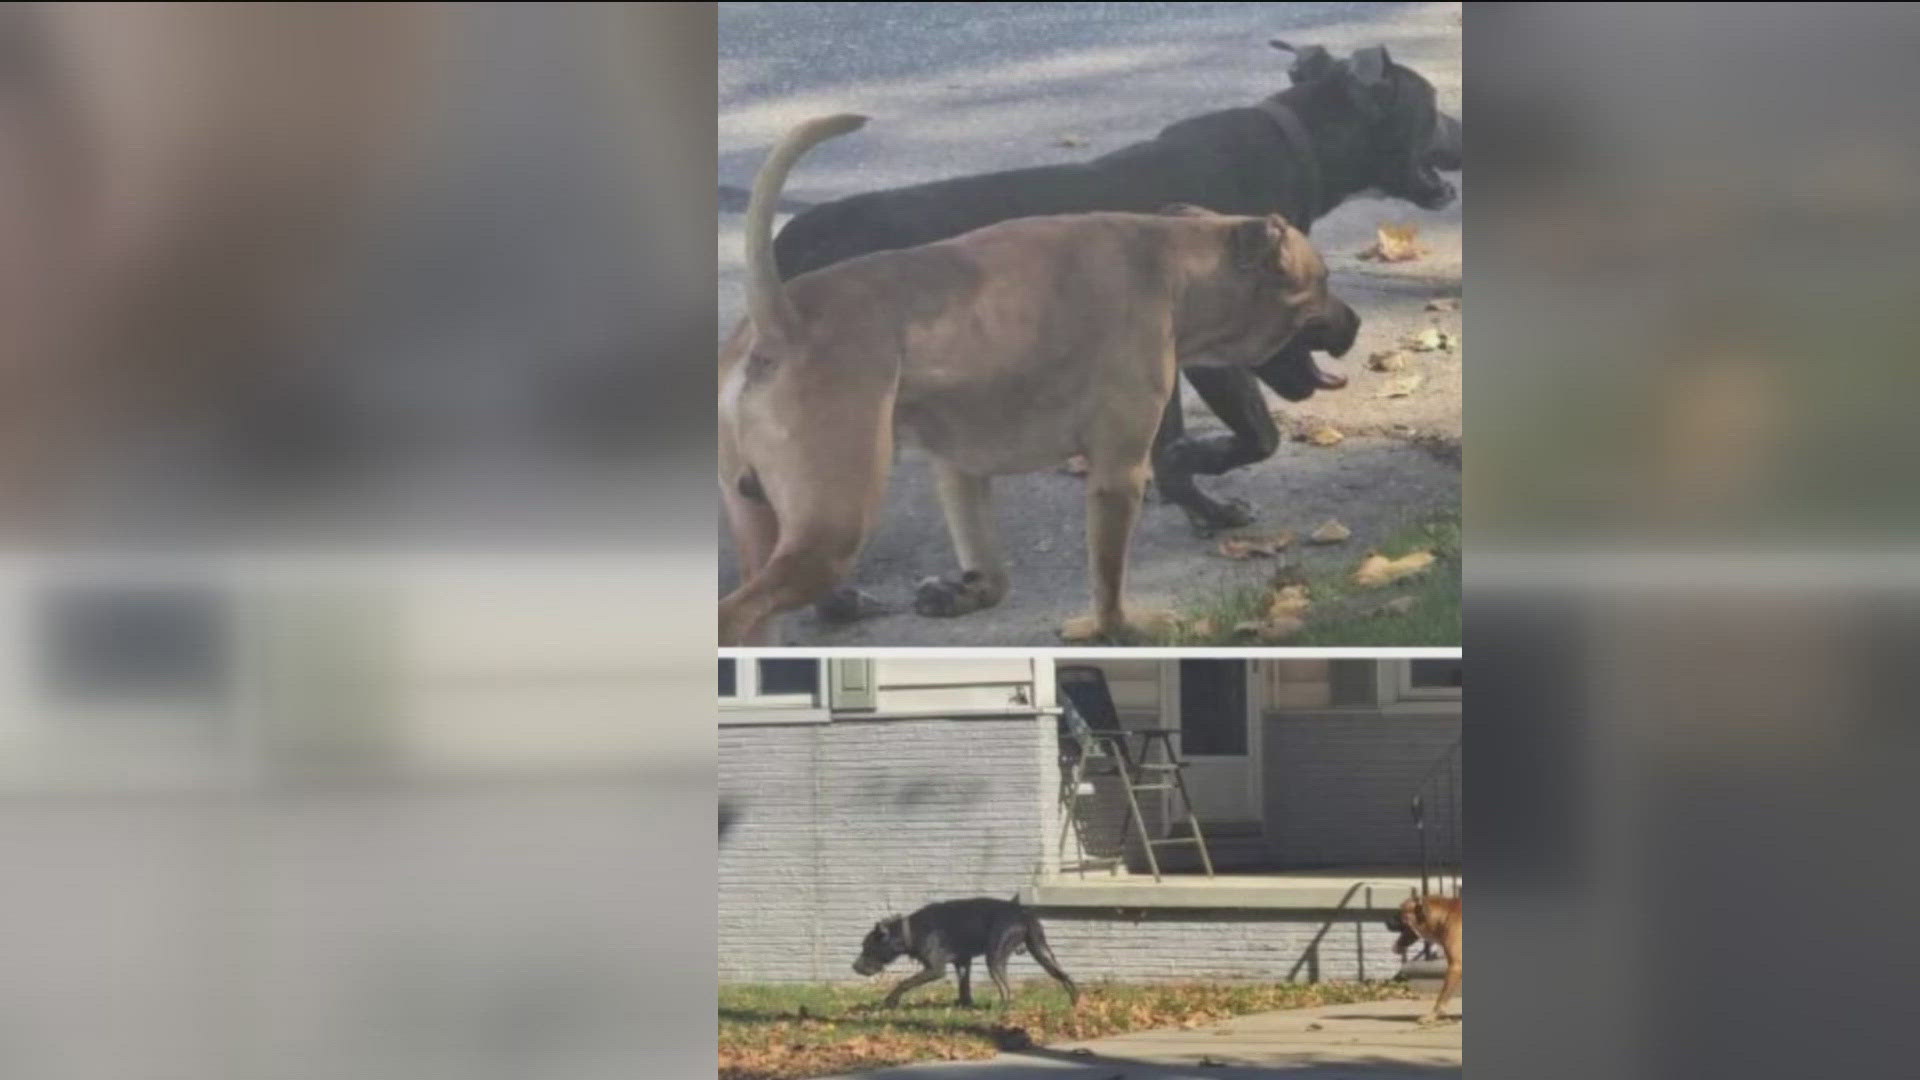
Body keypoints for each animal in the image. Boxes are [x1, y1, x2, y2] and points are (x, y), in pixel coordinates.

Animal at [721, 114, 1367, 641]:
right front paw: (1116, 628)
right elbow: (1108, 578)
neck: (1172, 264)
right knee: (742, 610)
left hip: (767, 522)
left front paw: (960, 594)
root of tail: (780, 321)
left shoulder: (960, 469)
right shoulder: (1116, 474)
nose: (1357, 321)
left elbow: (992, 570)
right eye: (1324, 278)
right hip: (832, 527)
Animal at [771, 41, 1459, 538]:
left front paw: (1200, 504)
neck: (1301, 144)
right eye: (1431, 105)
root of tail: (786, 245)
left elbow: (1172, 441)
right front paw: (1196, 471)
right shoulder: (1214, 354)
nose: (1461, 122)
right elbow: (1255, 435)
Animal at [856, 895, 1082, 1006]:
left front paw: (890, 1000)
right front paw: (966, 1006)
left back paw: (1001, 1012)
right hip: (1042, 952)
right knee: (1064, 976)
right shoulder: (962, 962)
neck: (910, 931)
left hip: (995, 958)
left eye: (867, 948)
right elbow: (964, 987)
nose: (854, 967)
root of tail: (1024, 914)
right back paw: (1075, 1002)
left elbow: (905, 982)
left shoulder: (935, 969)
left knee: (1006, 990)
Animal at [1390, 891, 1459, 1022]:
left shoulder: (1455, 966)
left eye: (1403, 911)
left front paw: (1432, 1016)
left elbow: (1441, 997)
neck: (1445, 915)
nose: (1391, 919)